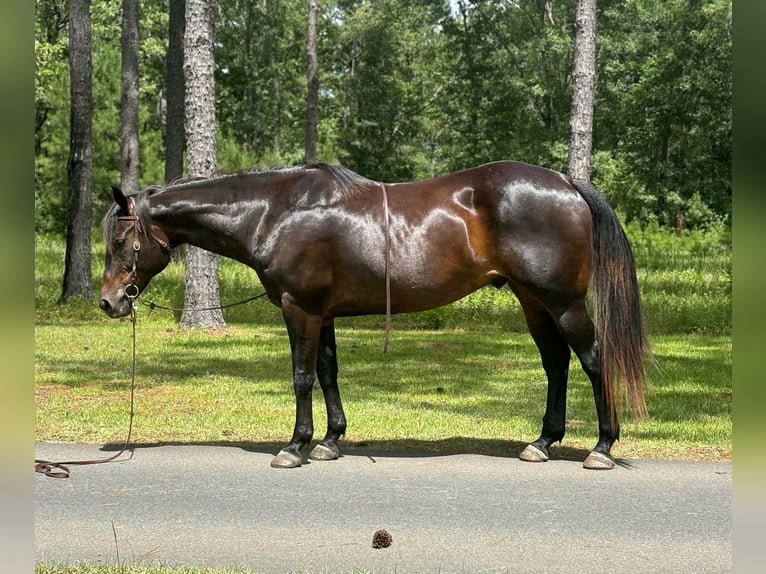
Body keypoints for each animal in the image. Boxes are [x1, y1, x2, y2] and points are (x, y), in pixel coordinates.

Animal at [99, 161, 649, 470]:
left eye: (122, 240)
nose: (109, 301)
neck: (275, 212)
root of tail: (566, 182)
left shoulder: (300, 309)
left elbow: (301, 377)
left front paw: (295, 447)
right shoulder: (322, 313)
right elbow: (327, 372)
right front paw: (329, 441)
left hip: (562, 302)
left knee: (593, 360)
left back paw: (602, 447)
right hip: (532, 301)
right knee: (556, 365)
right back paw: (543, 442)